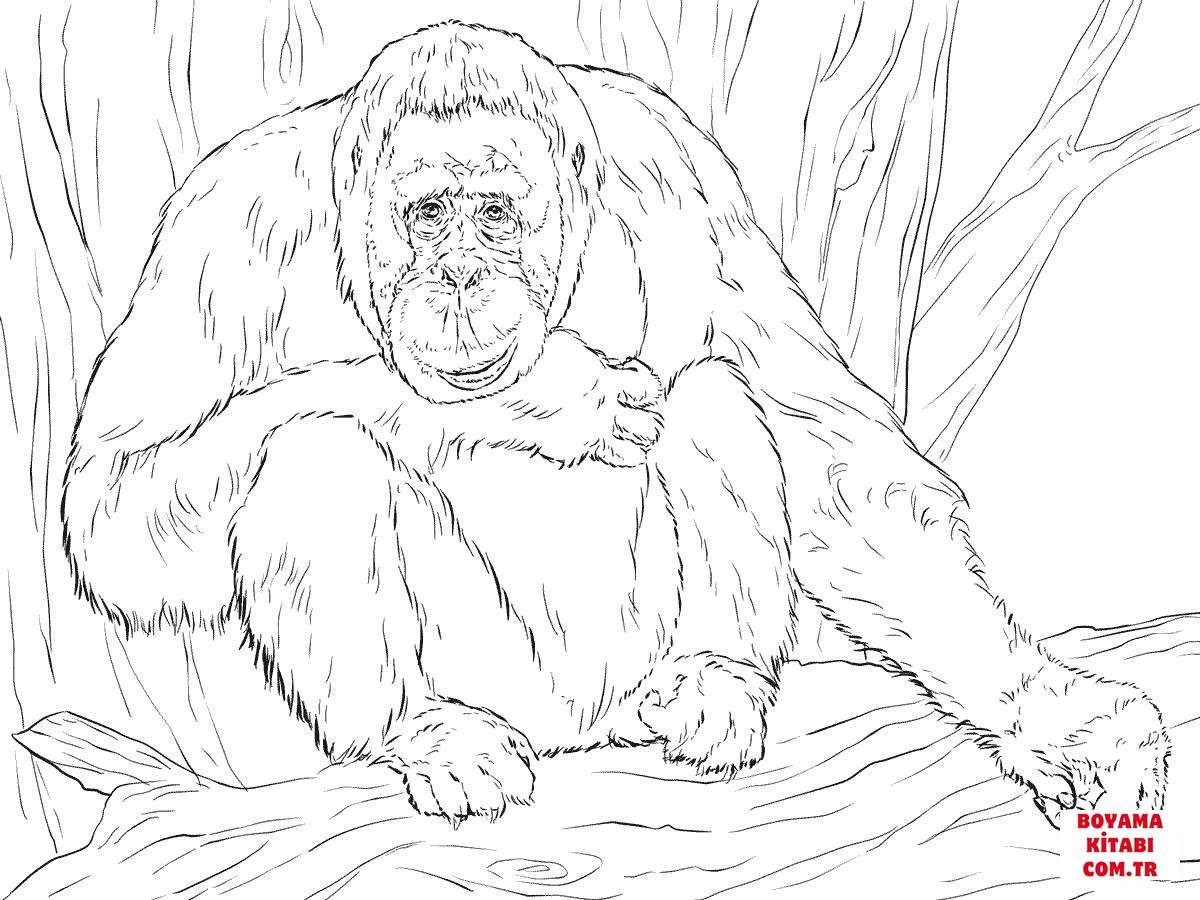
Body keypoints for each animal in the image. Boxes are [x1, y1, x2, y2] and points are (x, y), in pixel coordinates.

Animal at [63, 22, 1168, 826]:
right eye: (428, 216)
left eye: (494, 215)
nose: (460, 278)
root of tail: (579, 729)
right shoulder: (225, 221)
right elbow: (118, 504)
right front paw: (551, 393)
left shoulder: (675, 165)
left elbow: (834, 460)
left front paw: (1054, 715)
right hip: (507, 685)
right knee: (310, 447)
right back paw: (426, 729)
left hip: (626, 664)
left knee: (713, 387)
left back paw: (716, 678)